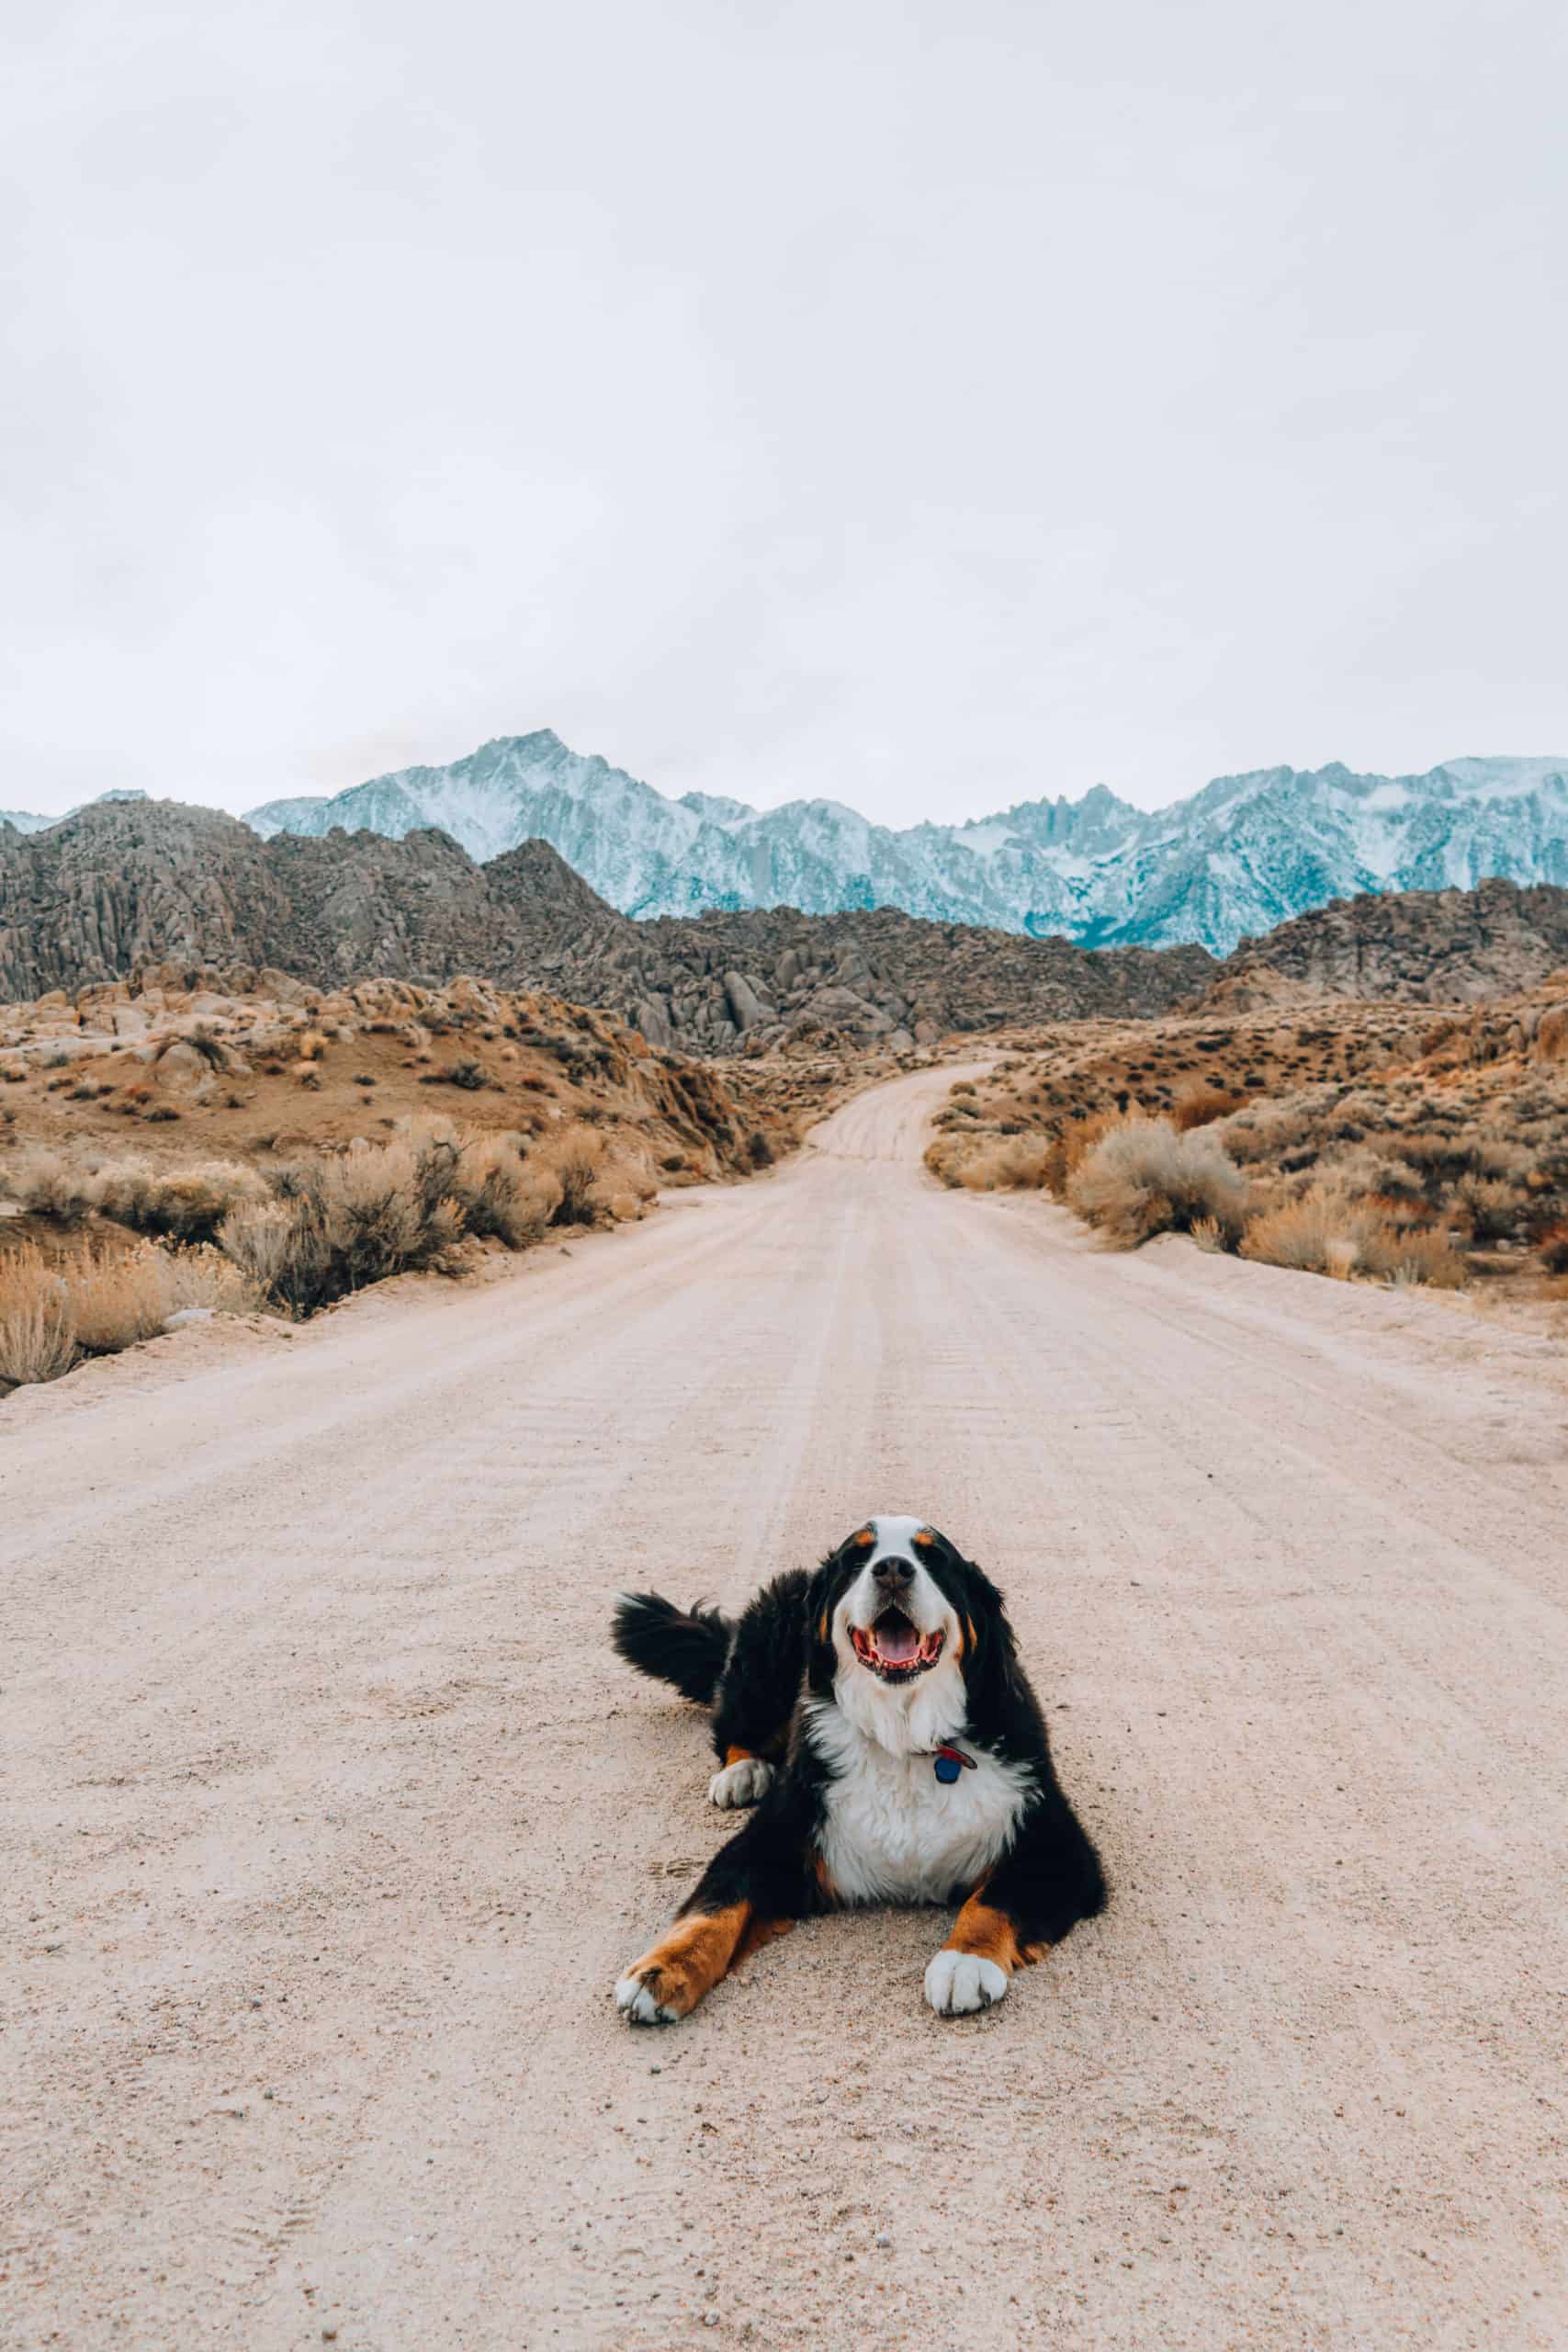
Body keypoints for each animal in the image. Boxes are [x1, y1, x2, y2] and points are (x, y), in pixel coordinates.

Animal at [606, 1523, 1109, 2022]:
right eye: (857, 1559)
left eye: (933, 1558)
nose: (892, 1570)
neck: (904, 1741)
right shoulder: (778, 1833)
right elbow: (718, 1903)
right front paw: (663, 1970)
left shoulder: (1053, 1842)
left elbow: (991, 1901)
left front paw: (964, 1962)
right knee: (734, 1721)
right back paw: (742, 1771)